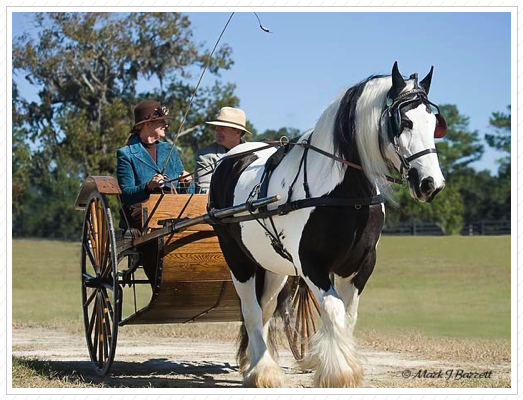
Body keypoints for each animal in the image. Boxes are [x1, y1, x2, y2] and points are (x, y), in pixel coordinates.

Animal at [209, 63, 446, 388]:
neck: (345, 195)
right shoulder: (311, 264)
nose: (431, 184)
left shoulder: (361, 264)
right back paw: (263, 371)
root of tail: (231, 158)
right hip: (237, 258)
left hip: (273, 264)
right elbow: (332, 309)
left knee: (266, 307)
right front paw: (341, 372)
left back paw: (255, 364)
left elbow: (347, 314)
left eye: (433, 123)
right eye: (405, 122)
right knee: (251, 309)